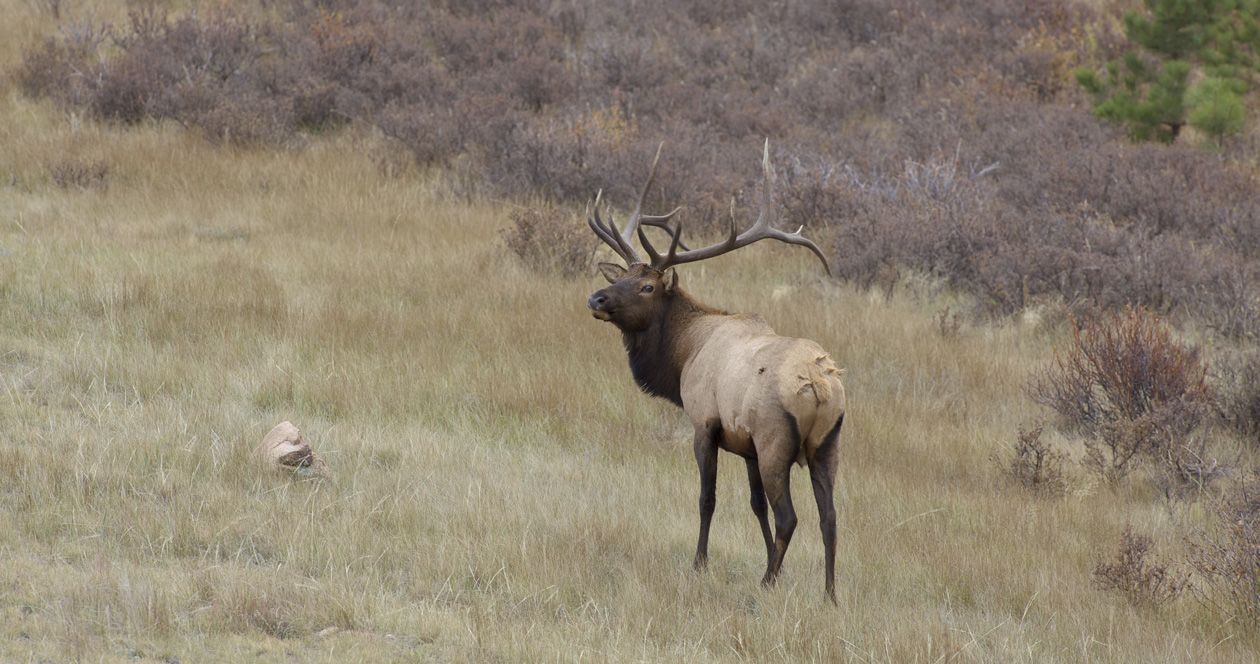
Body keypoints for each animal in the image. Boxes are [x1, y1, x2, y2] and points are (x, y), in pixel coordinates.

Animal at [587, 140, 846, 602]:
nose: (597, 298)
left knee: (790, 516)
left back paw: (765, 585)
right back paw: (830, 596)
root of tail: (818, 385)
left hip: (776, 439)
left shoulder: (705, 424)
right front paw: (775, 564)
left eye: (647, 286)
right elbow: (754, 505)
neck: (683, 356)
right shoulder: (746, 446)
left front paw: (699, 563)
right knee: (829, 517)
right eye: (624, 276)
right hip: (826, 444)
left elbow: (707, 499)